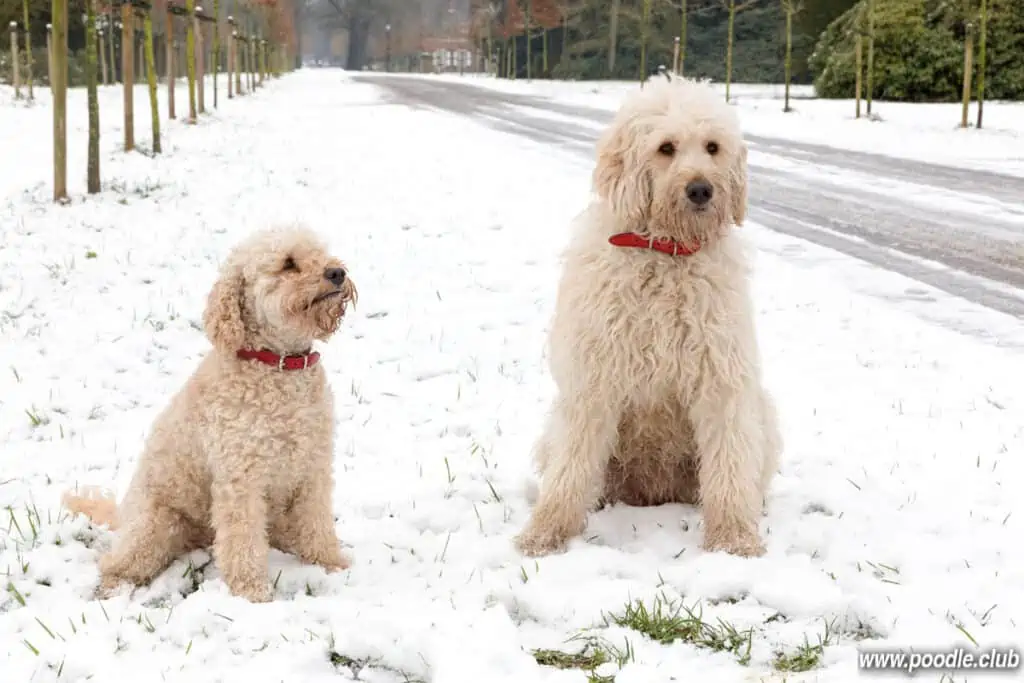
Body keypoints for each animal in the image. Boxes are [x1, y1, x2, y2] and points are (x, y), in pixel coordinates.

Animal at [64, 225, 358, 602]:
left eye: (320, 253)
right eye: (288, 263)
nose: (337, 273)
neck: (278, 366)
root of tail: (124, 513)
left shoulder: (314, 468)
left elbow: (316, 523)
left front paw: (331, 564)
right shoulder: (240, 478)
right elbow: (243, 542)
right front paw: (252, 592)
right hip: (154, 525)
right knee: (115, 562)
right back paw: (111, 588)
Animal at [516, 76, 778, 557]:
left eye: (712, 147)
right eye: (666, 147)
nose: (701, 190)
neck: (664, 252)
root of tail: (653, 492)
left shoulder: (721, 379)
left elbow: (729, 464)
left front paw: (734, 540)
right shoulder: (593, 381)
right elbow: (572, 466)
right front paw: (546, 533)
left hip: (762, 414)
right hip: (556, 432)